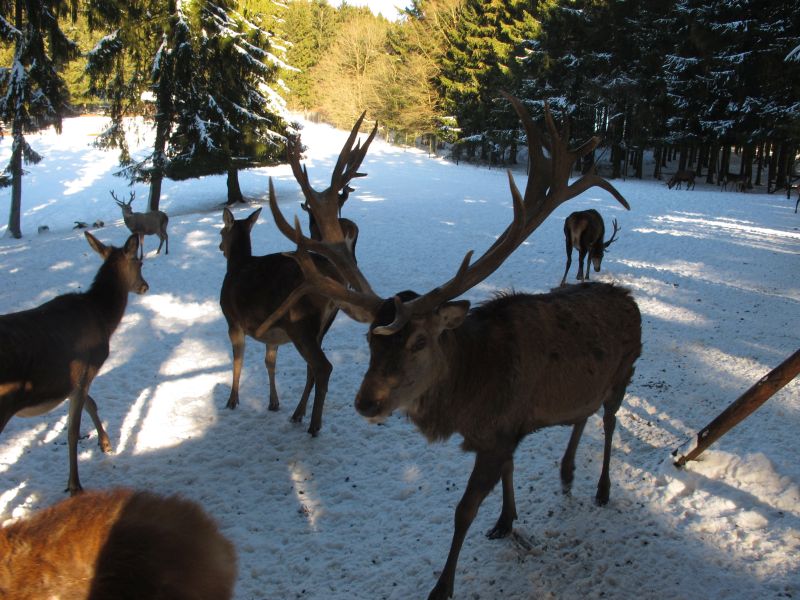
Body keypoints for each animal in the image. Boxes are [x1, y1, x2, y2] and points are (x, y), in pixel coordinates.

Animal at [0, 232, 148, 494]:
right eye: (139, 263)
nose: (145, 286)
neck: (105, 321)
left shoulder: (74, 380)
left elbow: (92, 404)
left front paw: (105, 443)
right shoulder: (85, 371)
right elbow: (73, 430)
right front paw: (75, 485)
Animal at [219, 112, 378, 436]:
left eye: (221, 232)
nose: (219, 247)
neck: (236, 266)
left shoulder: (232, 319)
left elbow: (238, 360)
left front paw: (232, 400)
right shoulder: (268, 332)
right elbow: (269, 362)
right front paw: (273, 402)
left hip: (300, 324)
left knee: (323, 366)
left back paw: (314, 424)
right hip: (318, 327)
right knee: (313, 367)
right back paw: (298, 413)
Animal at [262, 91, 644, 596]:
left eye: (421, 341)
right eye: (370, 339)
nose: (367, 402)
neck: (470, 397)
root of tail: (630, 300)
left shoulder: (499, 433)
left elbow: (464, 511)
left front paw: (442, 586)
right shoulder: (506, 433)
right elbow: (508, 474)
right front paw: (506, 520)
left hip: (625, 373)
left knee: (610, 421)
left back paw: (602, 489)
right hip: (591, 386)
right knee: (583, 413)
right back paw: (566, 473)